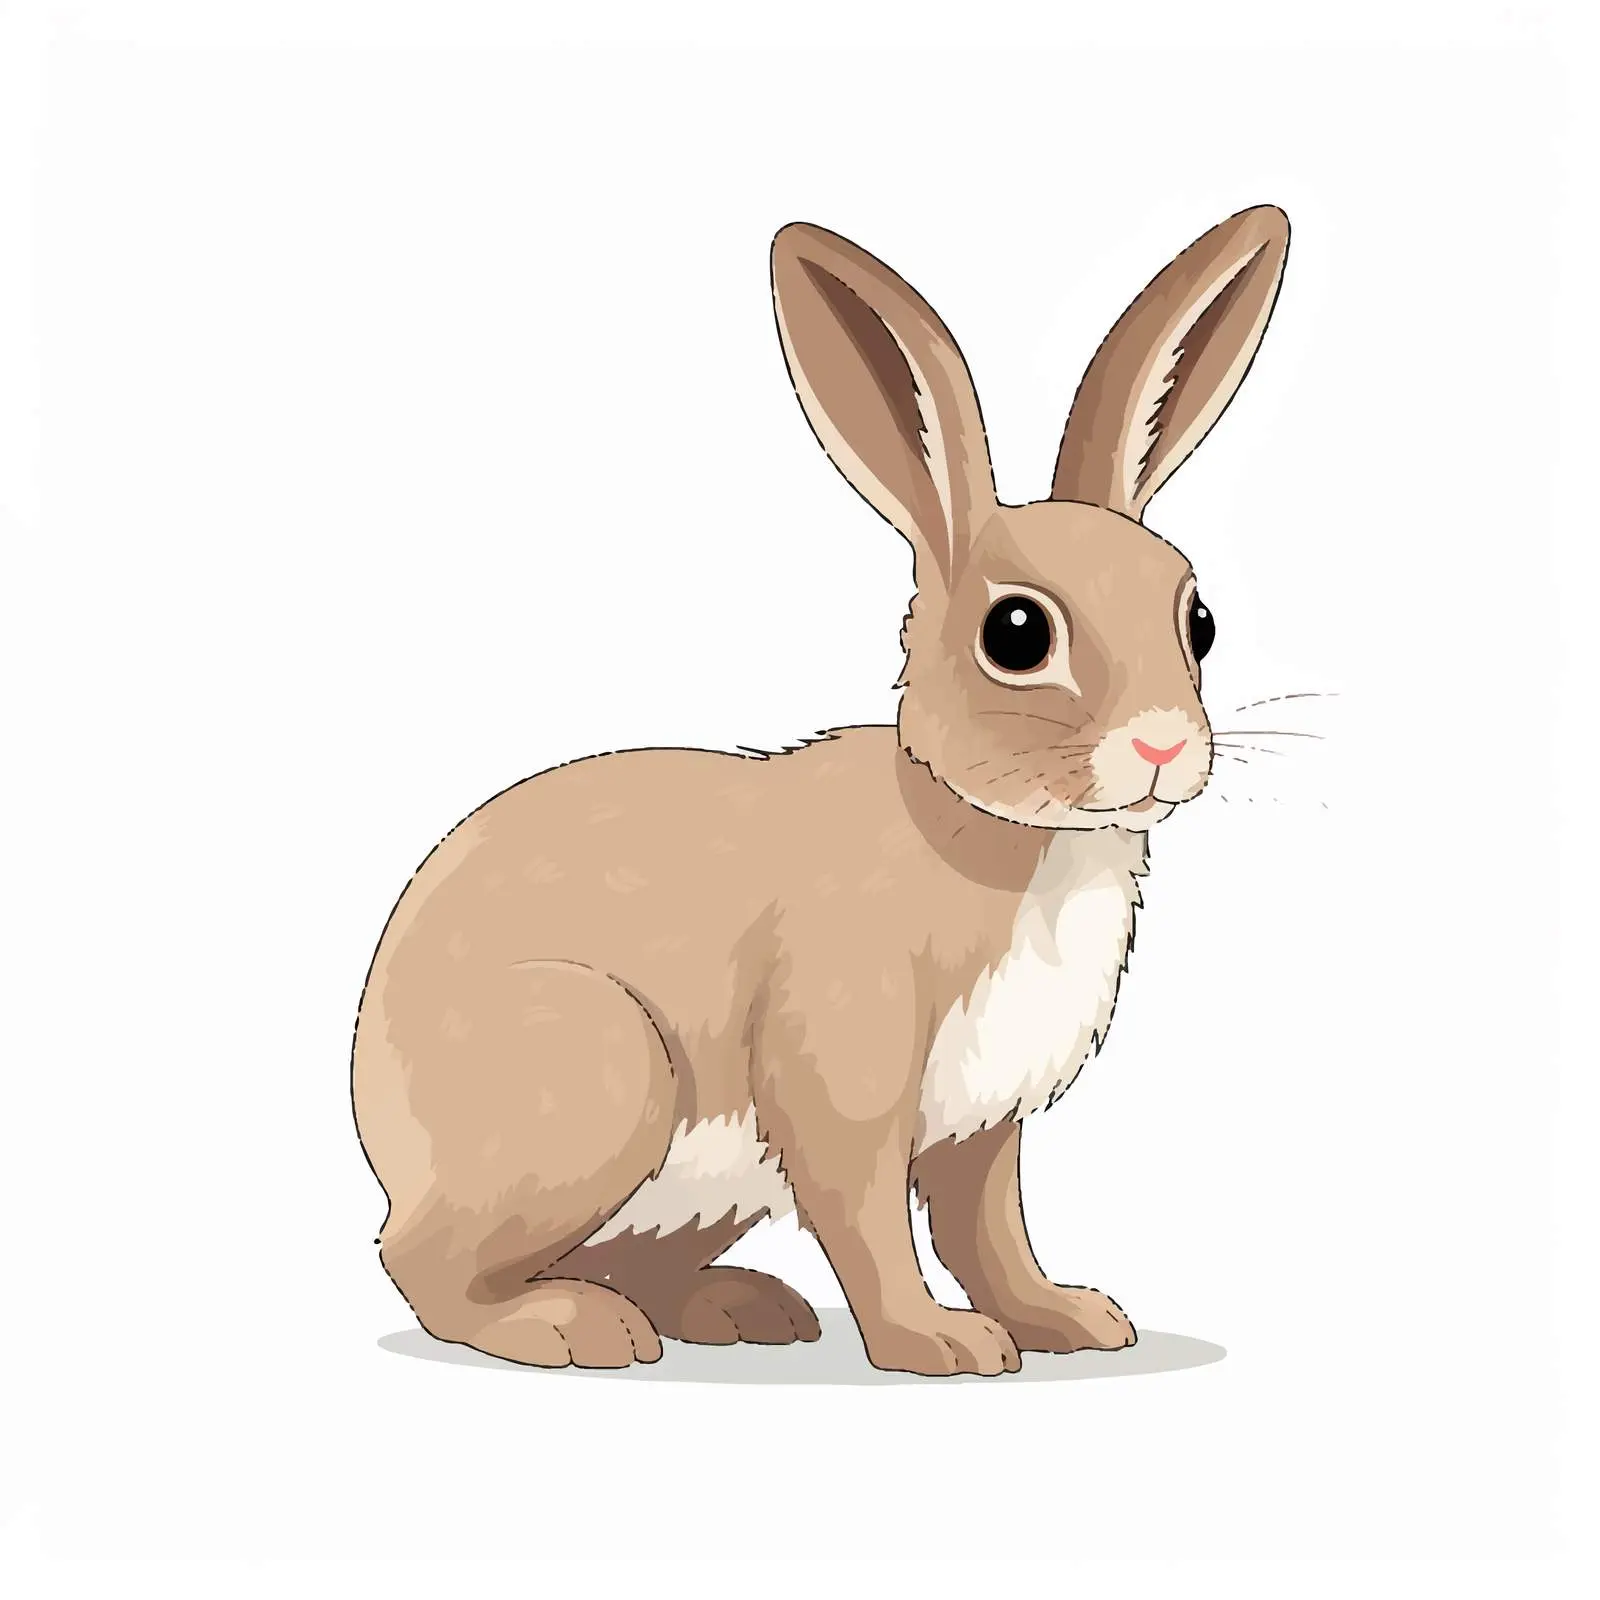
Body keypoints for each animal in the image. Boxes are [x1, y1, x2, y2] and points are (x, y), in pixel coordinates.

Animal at [353, 204, 1290, 1375]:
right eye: (1016, 632)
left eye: (1197, 620)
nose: (1162, 745)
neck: (986, 830)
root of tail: (375, 1118)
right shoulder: (846, 1071)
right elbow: (873, 1220)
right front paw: (938, 1344)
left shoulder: (987, 1121)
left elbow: (991, 1229)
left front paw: (1065, 1319)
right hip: (603, 1072)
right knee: (421, 1261)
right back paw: (567, 1326)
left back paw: (734, 1308)